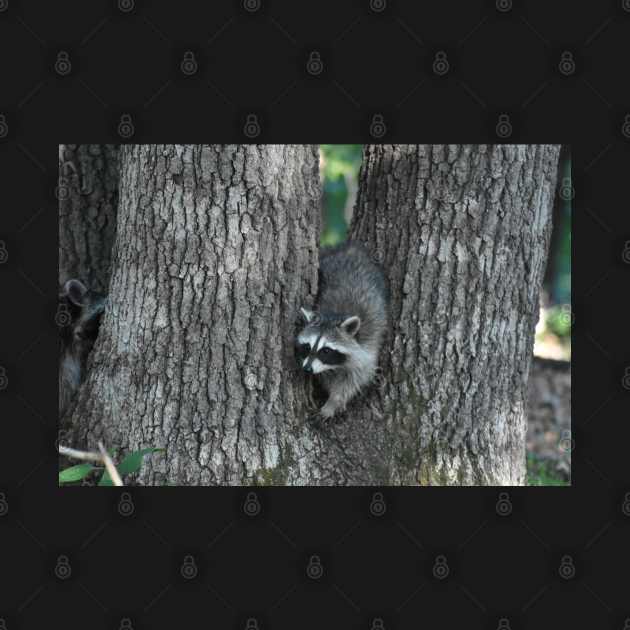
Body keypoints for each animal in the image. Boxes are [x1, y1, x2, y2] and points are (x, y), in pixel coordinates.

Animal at [298, 241, 390, 420]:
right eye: (307, 346)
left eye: (326, 350)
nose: (307, 369)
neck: (332, 316)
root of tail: (350, 248)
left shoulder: (367, 346)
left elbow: (354, 379)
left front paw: (333, 402)